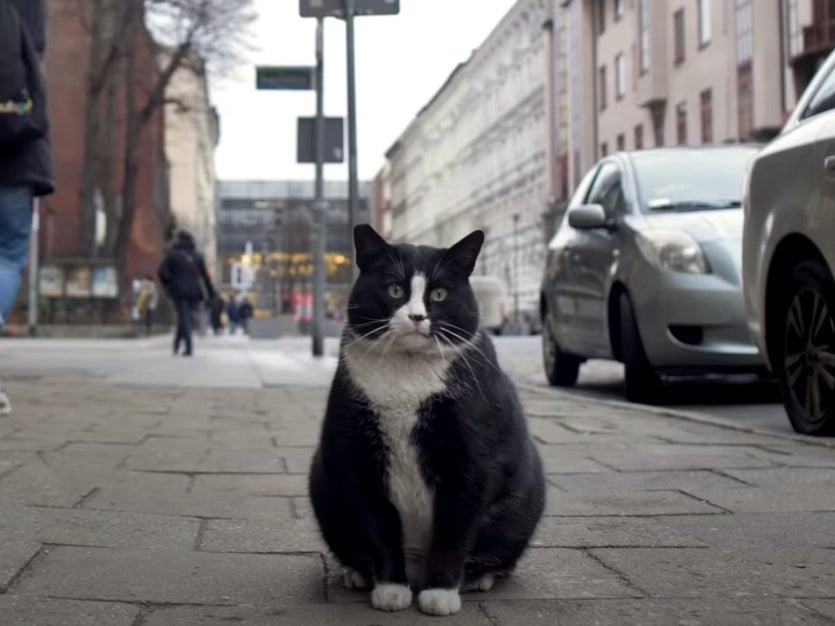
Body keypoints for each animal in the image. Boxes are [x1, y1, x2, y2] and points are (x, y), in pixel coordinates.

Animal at [310, 223, 544, 616]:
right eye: (394, 289)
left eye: (439, 293)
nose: (417, 317)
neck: (407, 375)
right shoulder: (358, 456)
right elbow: (378, 527)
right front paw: (390, 589)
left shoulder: (472, 458)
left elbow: (455, 529)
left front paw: (440, 594)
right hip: (323, 485)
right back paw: (359, 574)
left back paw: (478, 578)